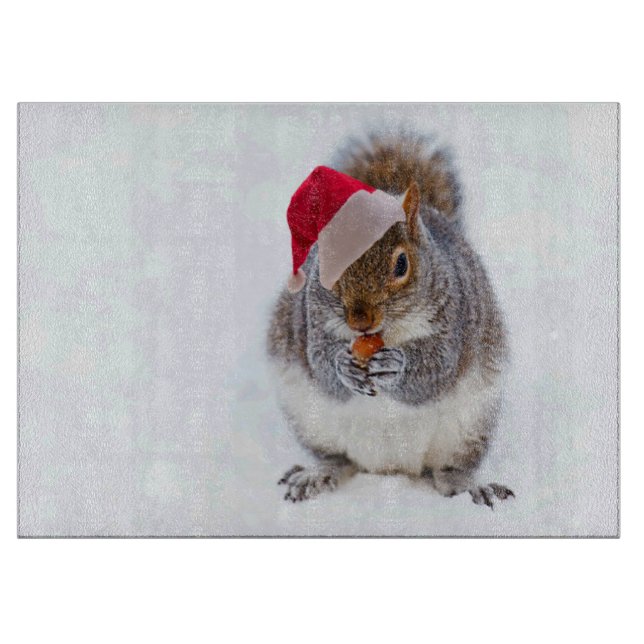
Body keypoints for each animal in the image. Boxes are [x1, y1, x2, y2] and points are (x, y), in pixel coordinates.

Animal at [267, 134, 514, 509]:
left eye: (401, 264)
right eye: (324, 263)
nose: (360, 320)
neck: (386, 334)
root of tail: (390, 468)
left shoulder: (454, 320)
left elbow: (435, 371)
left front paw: (396, 366)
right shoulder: (311, 322)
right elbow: (322, 365)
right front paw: (343, 366)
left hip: (469, 426)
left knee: (449, 469)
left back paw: (468, 485)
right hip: (311, 420)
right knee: (338, 458)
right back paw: (316, 474)